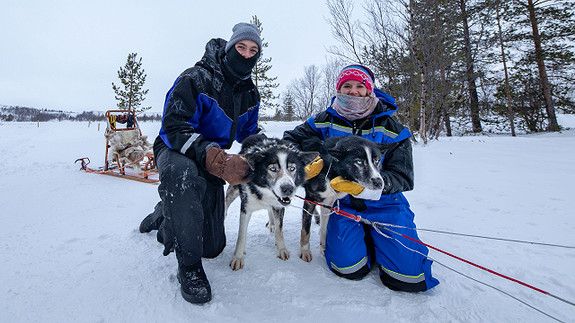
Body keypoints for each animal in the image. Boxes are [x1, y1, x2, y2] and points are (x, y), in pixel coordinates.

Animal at [225, 135, 320, 272]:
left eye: (292, 168)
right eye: (273, 169)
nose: (288, 189)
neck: (265, 192)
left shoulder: (279, 206)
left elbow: (279, 230)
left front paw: (281, 249)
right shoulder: (246, 208)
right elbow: (241, 235)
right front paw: (237, 257)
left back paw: (272, 223)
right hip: (233, 189)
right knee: (227, 201)